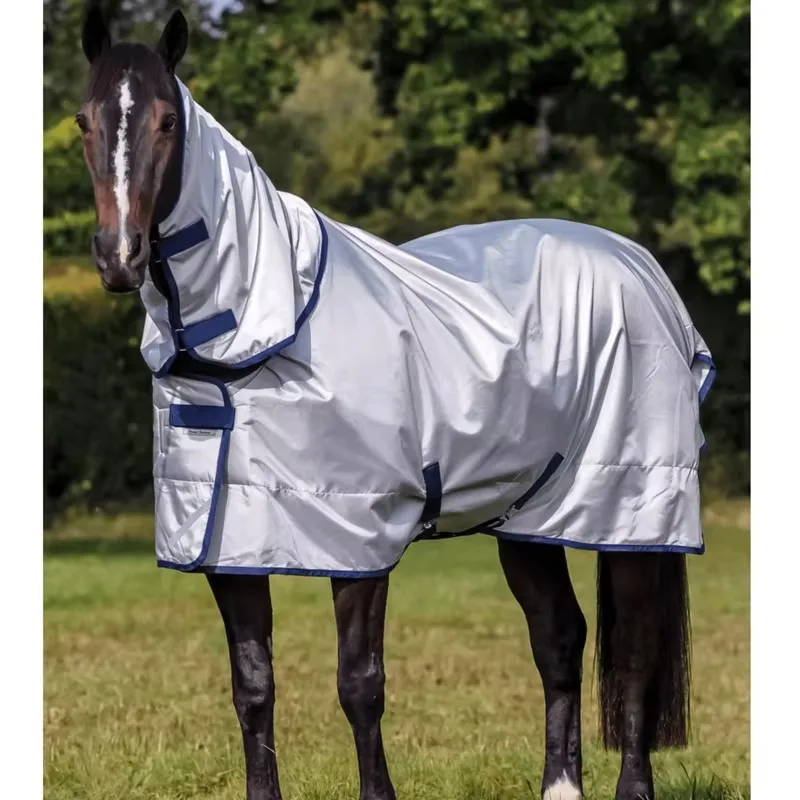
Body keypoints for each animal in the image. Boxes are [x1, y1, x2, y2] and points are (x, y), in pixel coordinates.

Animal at [75, 8, 714, 800]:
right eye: (83, 121)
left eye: (166, 121)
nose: (119, 256)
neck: (261, 325)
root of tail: (639, 264)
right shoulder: (228, 540)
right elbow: (252, 686)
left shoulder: (361, 537)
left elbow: (360, 684)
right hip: (529, 518)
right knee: (560, 638)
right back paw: (559, 787)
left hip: (632, 512)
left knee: (635, 652)